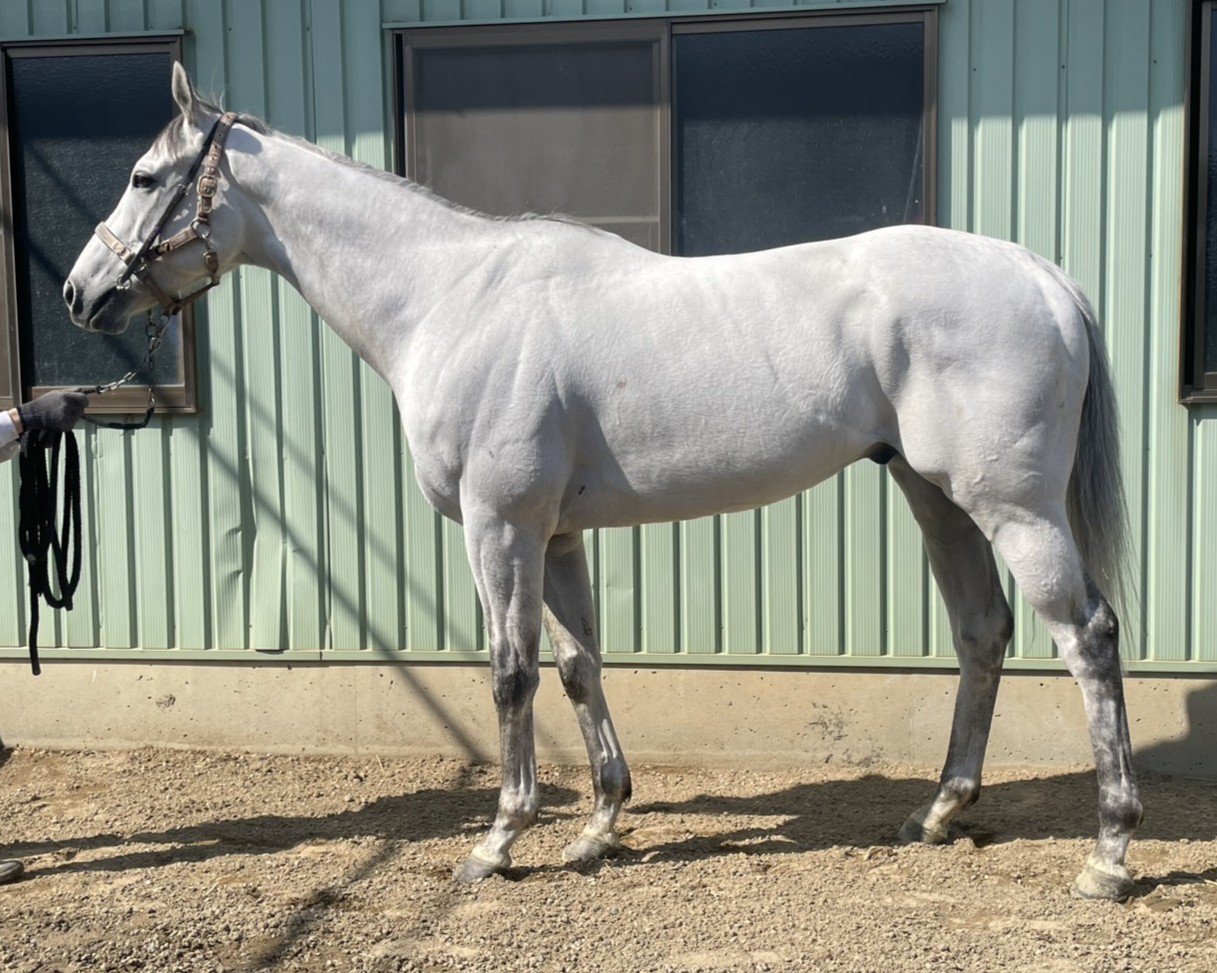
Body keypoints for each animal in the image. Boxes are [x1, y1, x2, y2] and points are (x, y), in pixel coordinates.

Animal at [64, 63, 1140, 900]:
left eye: (145, 174)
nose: (81, 293)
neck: (450, 299)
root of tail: (1039, 274)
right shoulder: (556, 533)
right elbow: (580, 665)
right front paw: (597, 828)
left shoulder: (498, 525)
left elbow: (509, 673)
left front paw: (498, 842)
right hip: (935, 496)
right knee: (981, 632)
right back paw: (939, 810)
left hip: (1012, 508)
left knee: (1085, 636)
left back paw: (1108, 850)